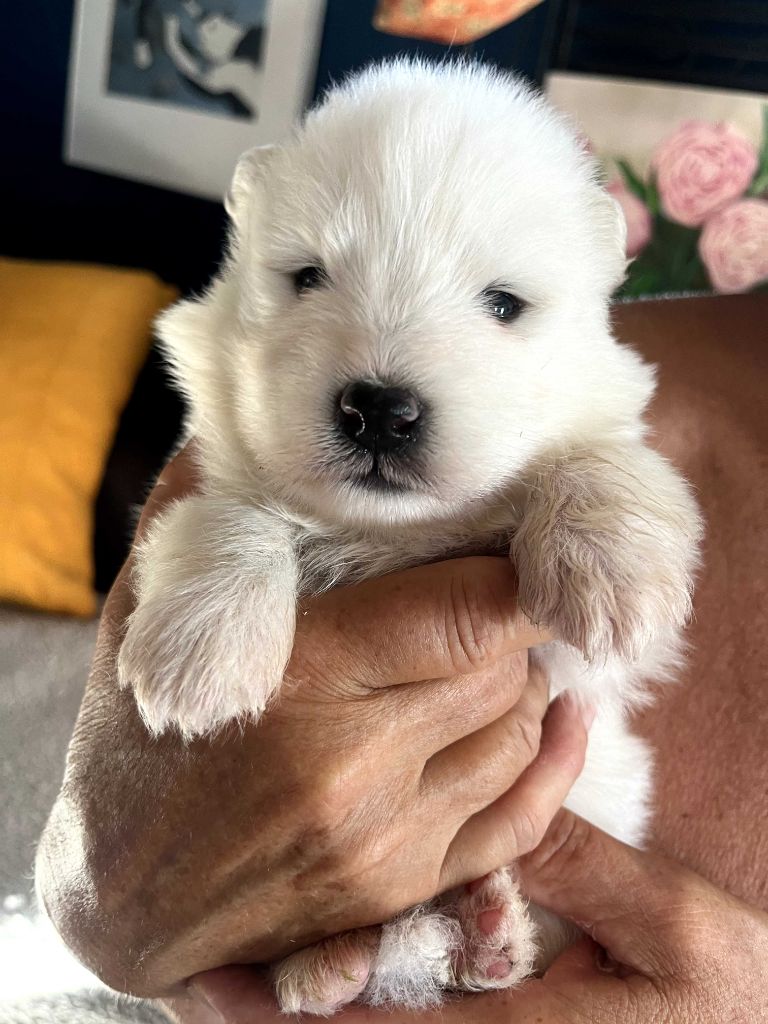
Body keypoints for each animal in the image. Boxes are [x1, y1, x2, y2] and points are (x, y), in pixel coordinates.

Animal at [118, 59, 702, 1015]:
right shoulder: (216, 474)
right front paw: (200, 659)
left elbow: (595, 460)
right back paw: (340, 961)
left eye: (503, 303)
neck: (391, 535)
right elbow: (229, 514)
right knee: (393, 955)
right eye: (307, 277)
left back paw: (488, 935)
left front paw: (611, 574)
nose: (379, 410)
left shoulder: (570, 674)